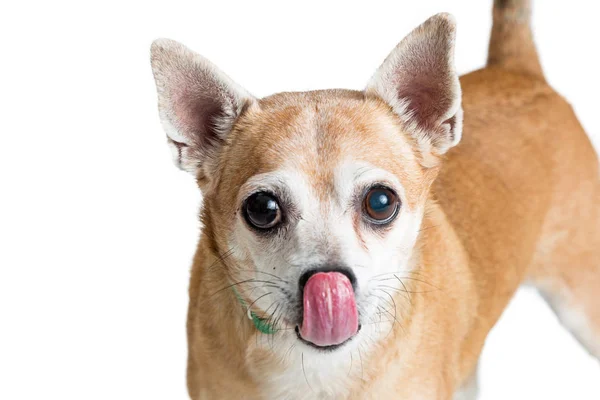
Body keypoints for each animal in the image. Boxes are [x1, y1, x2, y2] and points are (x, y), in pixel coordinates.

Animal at [150, 1, 600, 398]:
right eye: (262, 209)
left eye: (380, 203)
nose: (328, 282)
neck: (318, 370)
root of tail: (519, 70)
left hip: (584, 303)